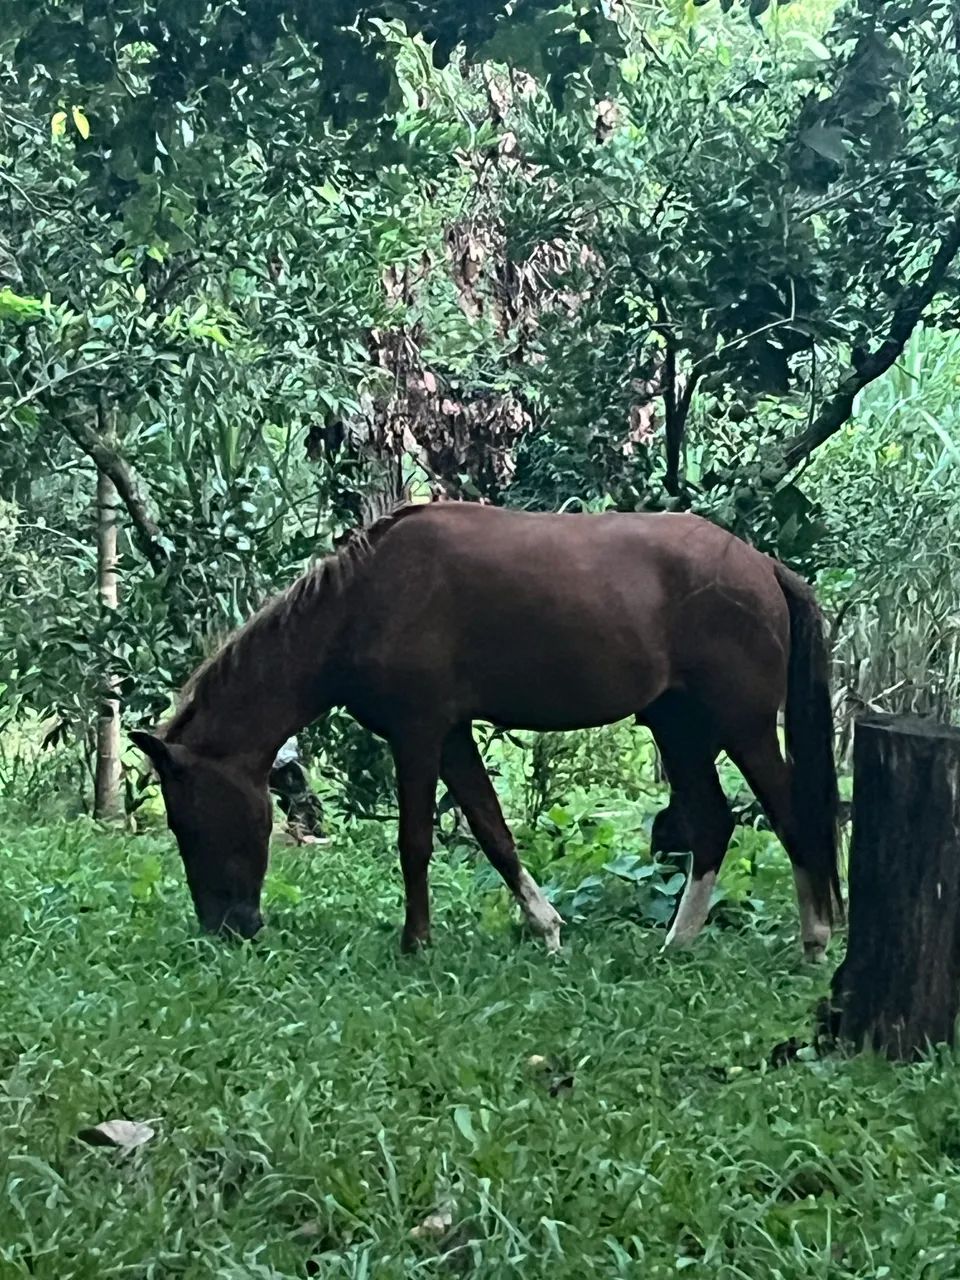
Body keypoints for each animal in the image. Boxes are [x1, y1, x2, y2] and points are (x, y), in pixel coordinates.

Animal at [131, 501, 842, 960]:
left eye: (188, 823)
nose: (228, 928)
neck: (363, 601)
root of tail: (762, 566)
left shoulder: (418, 734)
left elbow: (415, 841)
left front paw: (416, 944)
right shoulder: (450, 735)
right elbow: (493, 831)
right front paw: (547, 929)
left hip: (743, 727)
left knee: (790, 815)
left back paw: (814, 941)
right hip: (681, 728)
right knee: (714, 824)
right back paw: (678, 942)